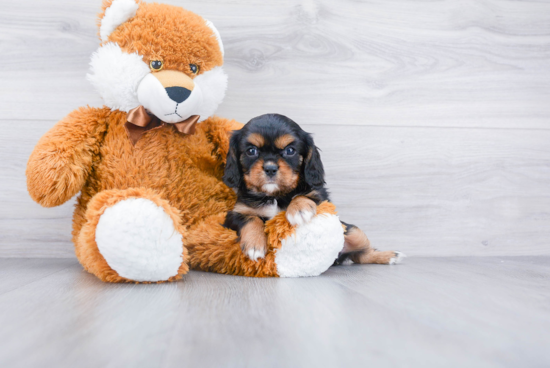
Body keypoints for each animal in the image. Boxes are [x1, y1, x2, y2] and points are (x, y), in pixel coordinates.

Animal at [222, 113, 404, 264]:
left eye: (290, 150)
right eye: (251, 151)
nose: (270, 168)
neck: (274, 196)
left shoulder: (323, 198)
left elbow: (304, 195)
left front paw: (299, 209)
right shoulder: (235, 214)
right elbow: (251, 219)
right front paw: (254, 245)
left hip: (352, 231)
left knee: (363, 254)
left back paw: (390, 256)